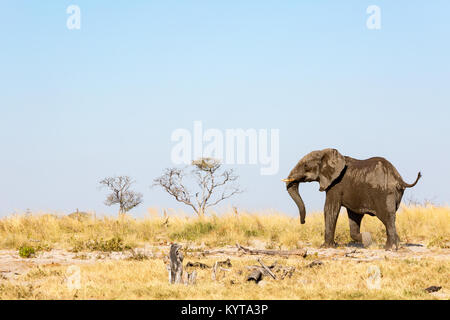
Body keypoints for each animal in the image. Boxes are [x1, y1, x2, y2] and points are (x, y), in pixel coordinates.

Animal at [284, 148, 420, 250]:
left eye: (306, 166)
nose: (303, 222)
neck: (326, 152)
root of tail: (399, 178)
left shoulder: (335, 185)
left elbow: (330, 209)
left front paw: (326, 246)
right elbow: (354, 216)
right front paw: (366, 239)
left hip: (384, 193)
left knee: (387, 217)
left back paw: (389, 248)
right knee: (391, 217)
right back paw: (396, 245)